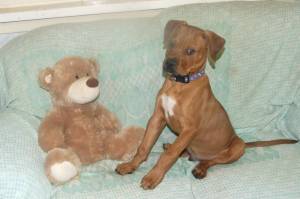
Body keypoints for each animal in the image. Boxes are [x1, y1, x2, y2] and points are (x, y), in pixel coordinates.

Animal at [115, 20, 298, 190]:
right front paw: (130, 166)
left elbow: (169, 155)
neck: (179, 84)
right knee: (183, 151)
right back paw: (174, 147)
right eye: (172, 43)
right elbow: (144, 146)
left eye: (190, 51)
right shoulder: (157, 117)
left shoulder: (189, 129)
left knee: (211, 160)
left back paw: (200, 168)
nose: (168, 64)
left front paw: (153, 177)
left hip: (237, 146)